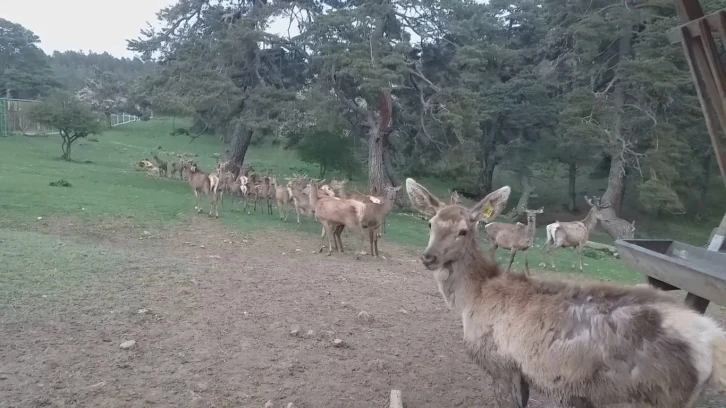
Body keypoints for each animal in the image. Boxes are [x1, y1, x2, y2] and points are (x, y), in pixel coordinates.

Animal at [404, 177, 726, 408]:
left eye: (462, 230)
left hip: (658, 395)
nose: (429, 257)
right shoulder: (523, 370)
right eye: (431, 223)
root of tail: (713, 341)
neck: (473, 297)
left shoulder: (500, 363)